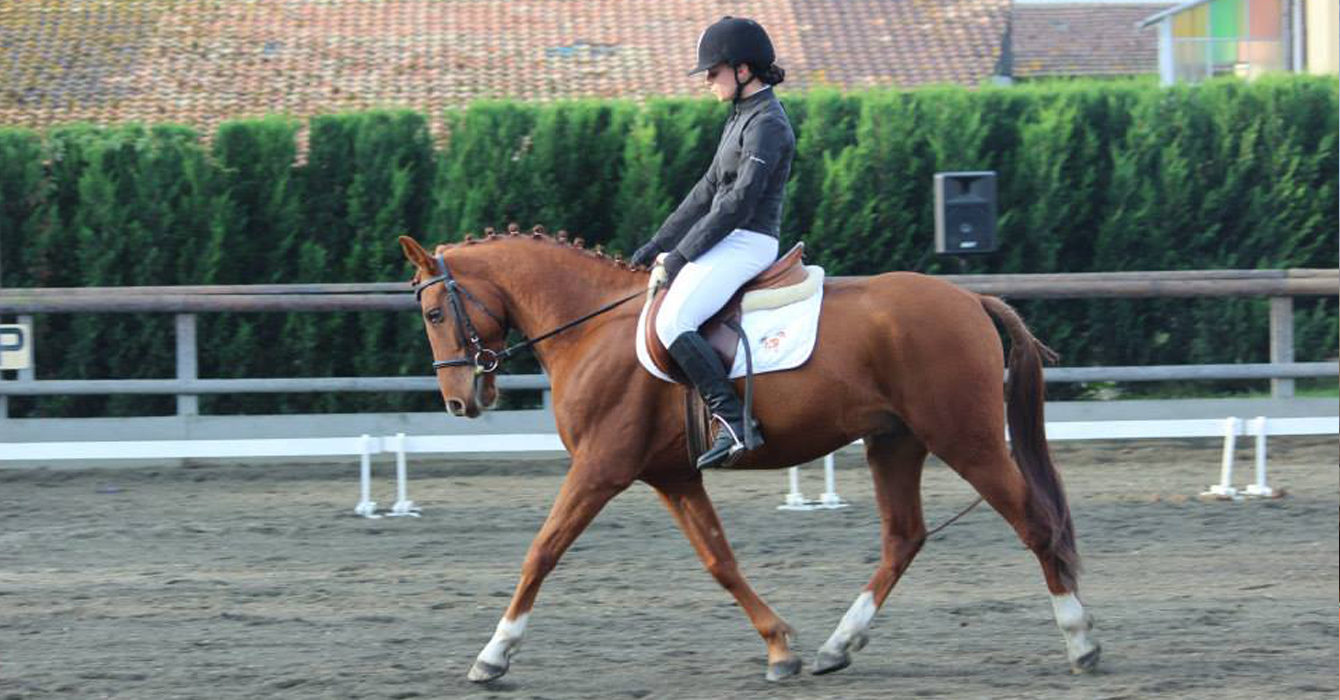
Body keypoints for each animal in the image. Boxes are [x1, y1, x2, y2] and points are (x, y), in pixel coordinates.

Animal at [396, 229, 1098, 681]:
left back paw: (1080, 641)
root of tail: (969, 297)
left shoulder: (599, 469)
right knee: (904, 537)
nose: (460, 402)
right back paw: (838, 646)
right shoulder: (673, 477)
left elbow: (541, 551)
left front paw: (493, 655)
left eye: (434, 313)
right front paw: (781, 648)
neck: (590, 328)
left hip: (965, 438)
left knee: (1034, 522)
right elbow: (720, 561)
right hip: (895, 442)